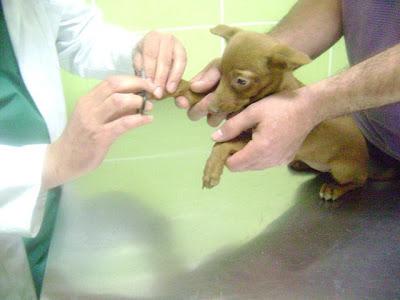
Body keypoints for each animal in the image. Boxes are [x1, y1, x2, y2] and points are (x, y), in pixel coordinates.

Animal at [164, 24, 370, 200]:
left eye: (241, 81)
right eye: (219, 72)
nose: (212, 108)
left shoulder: (251, 136)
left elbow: (222, 144)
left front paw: (211, 171)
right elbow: (195, 90)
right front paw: (171, 87)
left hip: (343, 169)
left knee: (358, 182)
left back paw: (334, 188)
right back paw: (300, 163)